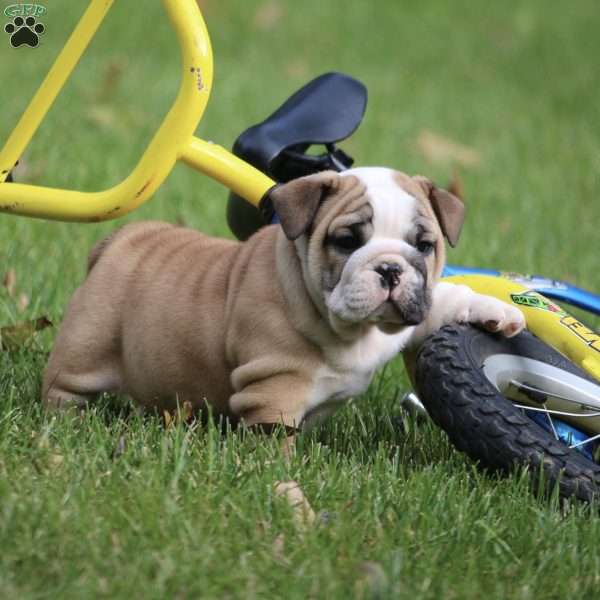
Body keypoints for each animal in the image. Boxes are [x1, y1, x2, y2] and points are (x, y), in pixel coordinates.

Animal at [42, 169, 524, 432]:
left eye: (424, 246)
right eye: (347, 241)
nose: (389, 268)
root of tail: (119, 239)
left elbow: (439, 301)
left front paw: (496, 312)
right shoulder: (273, 387)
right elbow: (276, 441)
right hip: (86, 347)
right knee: (63, 388)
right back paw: (69, 421)